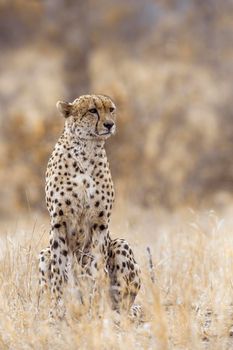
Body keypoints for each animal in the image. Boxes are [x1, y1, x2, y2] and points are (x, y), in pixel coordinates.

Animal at [38, 93, 140, 320]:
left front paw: (96, 308)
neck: (87, 150)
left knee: (124, 302)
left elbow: (96, 268)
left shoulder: (100, 224)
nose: (110, 124)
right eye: (92, 110)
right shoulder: (58, 222)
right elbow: (59, 271)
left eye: (111, 109)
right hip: (43, 253)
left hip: (121, 245)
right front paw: (56, 310)